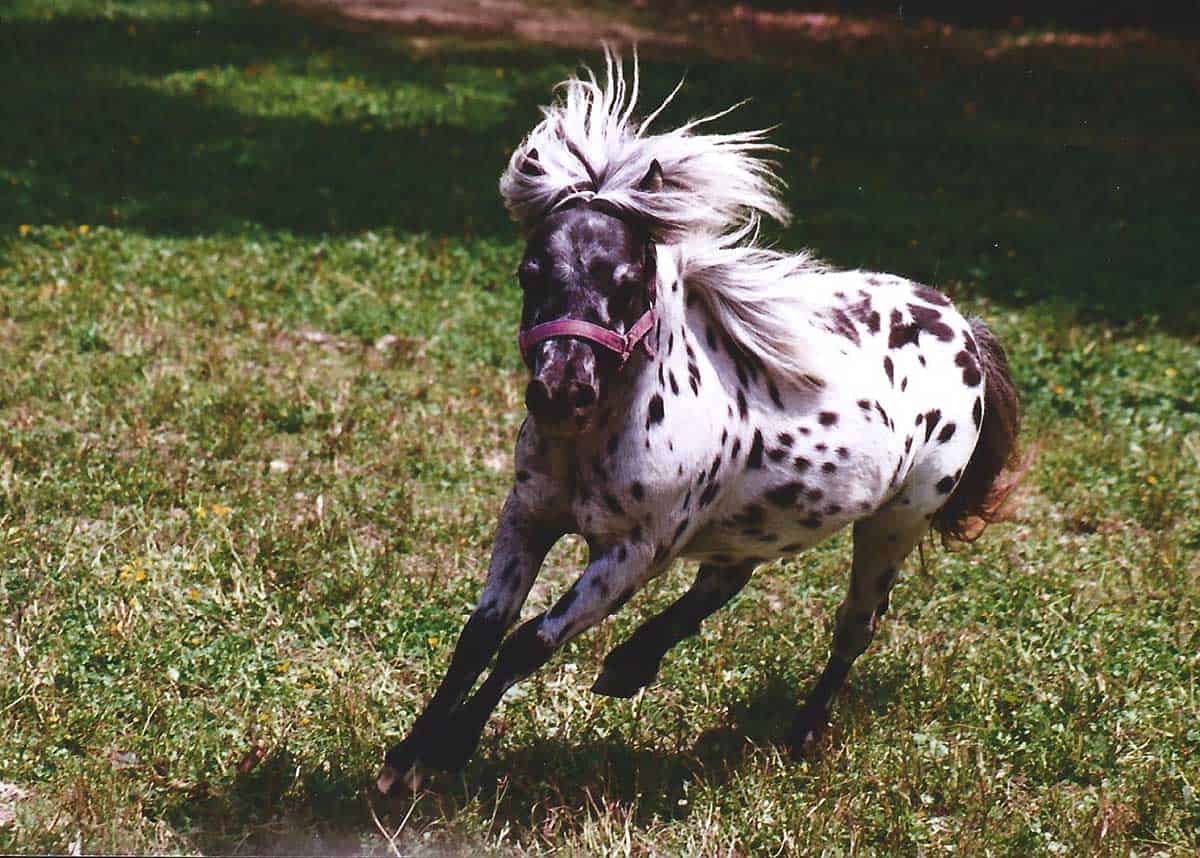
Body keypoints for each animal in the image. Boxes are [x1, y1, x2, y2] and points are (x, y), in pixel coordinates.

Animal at [377, 52, 1020, 794]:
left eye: (627, 281)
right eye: (528, 272)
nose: (563, 390)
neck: (594, 443)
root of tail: (964, 327)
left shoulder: (633, 554)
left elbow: (527, 640)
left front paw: (450, 749)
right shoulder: (528, 517)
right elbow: (481, 633)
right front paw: (405, 758)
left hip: (895, 523)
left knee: (853, 627)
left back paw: (802, 732)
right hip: (760, 519)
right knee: (727, 579)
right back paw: (631, 666)